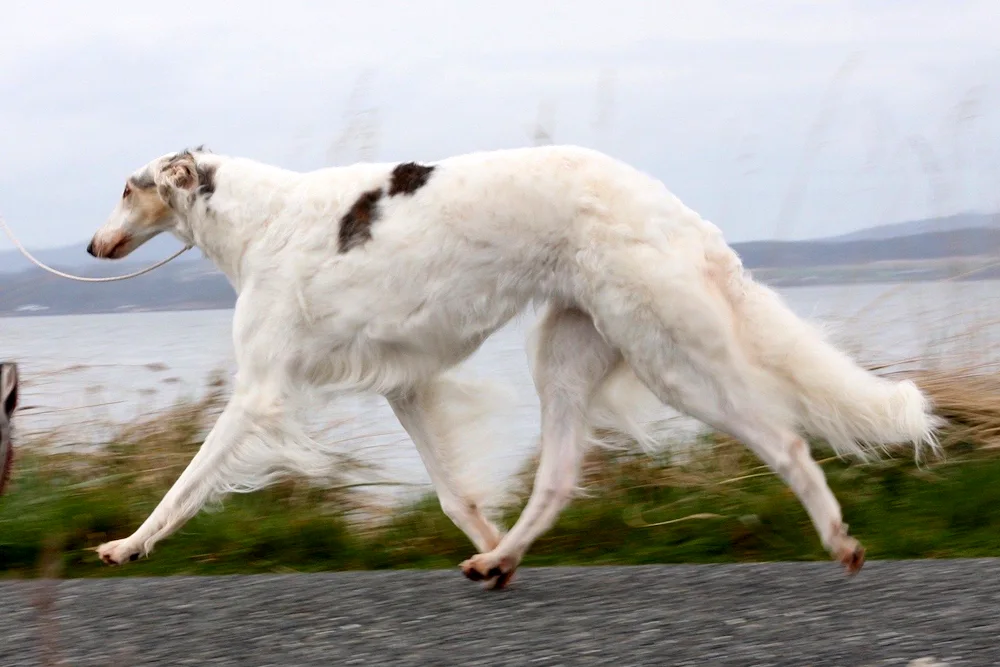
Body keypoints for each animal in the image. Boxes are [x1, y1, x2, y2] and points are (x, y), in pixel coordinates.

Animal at [86, 142, 944, 588]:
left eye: (128, 187)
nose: (93, 246)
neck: (259, 221)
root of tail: (682, 215)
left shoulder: (262, 389)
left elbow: (186, 482)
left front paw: (129, 545)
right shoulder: (403, 384)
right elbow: (453, 493)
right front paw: (487, 538)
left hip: (669, 356)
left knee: (789, 441)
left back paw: (840, 539)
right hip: (567, 356)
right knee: (558, 478)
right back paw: (500, 556)